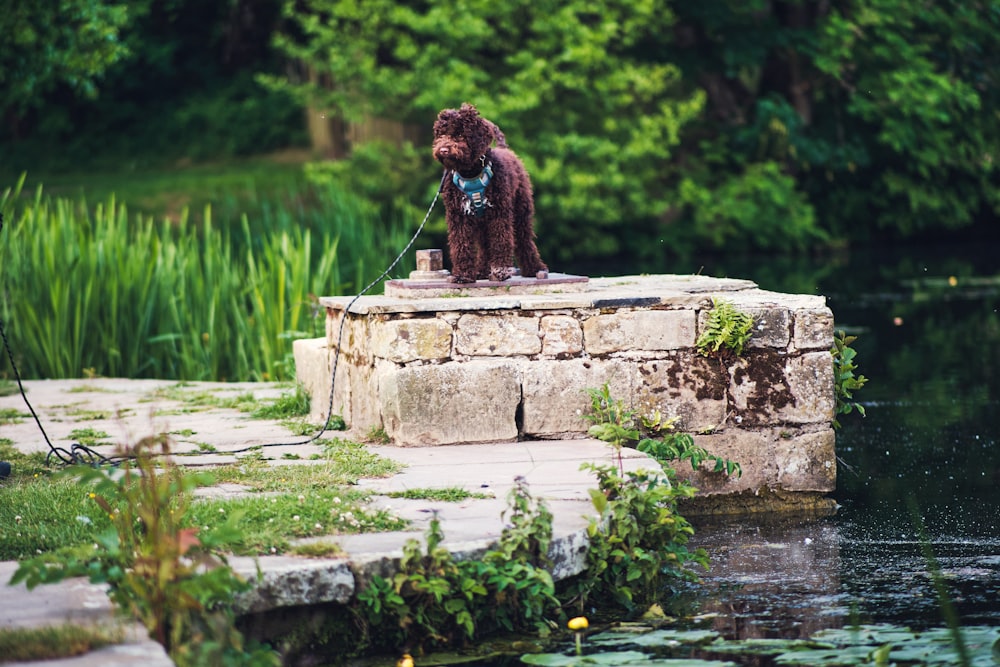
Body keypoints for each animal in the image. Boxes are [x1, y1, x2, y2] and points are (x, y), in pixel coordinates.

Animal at [434, 103, 552, 284]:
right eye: (441, 134)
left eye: (460, 134)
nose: (443, 150)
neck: (471, 173)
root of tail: (507, 151)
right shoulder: (458, 216)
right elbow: (461, 245)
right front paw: (463, 274)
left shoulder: (499, 212)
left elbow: (500, 241)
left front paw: (500, 271)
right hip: (483, 222)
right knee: (484, 246)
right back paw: (482, 270)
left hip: (521, 212)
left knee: (524, 240)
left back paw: (534, 268)